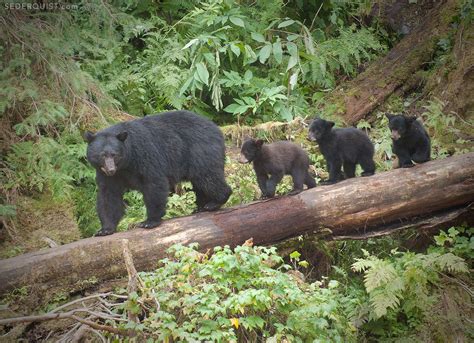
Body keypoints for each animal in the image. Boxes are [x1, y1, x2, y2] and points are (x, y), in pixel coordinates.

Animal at [85, 110, 233, 236]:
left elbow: (154, 183)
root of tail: (217, 129)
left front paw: (149, 221)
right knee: (200, 182)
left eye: (114, 155)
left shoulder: (145, 155)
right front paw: (105, 229)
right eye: (102, 155)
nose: (110, 170)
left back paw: (215, 202)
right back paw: (201, 207)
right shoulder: (108, 175)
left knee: (208, 177)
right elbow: (108, 196)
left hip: (201, 151)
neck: (126, 164)